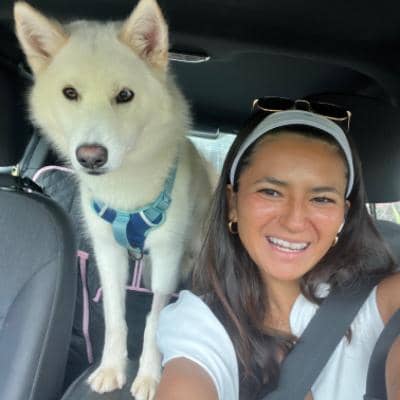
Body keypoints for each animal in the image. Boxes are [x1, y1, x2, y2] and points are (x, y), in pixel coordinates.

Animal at [14, 0, 214, 398]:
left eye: (125, 95)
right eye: (70, 93)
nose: (90, 157)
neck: (126, 192)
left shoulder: (166, 253)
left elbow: (154, 319)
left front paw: (149, 376)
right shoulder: (107, 252)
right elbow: (115, 316)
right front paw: (111, 368)